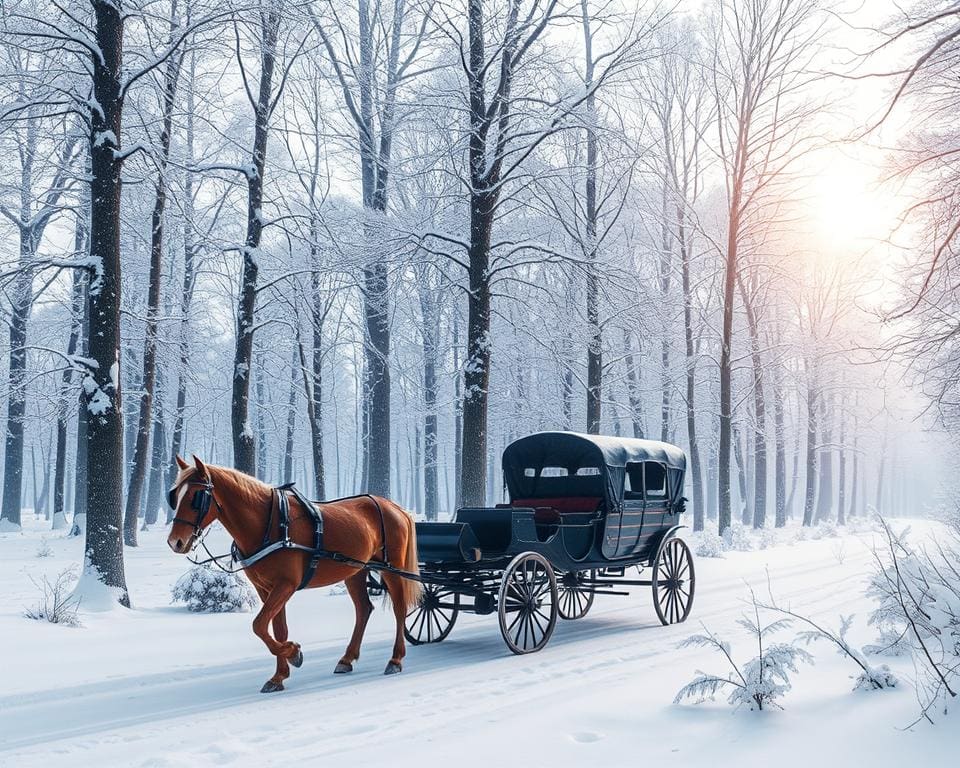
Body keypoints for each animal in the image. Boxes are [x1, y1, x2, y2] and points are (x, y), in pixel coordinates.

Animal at [167, 452, 422, 692]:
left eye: (196, 497)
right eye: (175, 495)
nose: (175, 542)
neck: (269, 525)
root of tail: (395, 507)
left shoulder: (286, 585)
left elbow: (259, 625)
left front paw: (293, 652)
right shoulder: (266, 588)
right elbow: (276, 628)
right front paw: (279, 675)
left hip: (392, 568)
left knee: (399, 608)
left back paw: (395, 659)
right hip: (356, 570)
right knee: (363, 608)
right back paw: (347, 659)